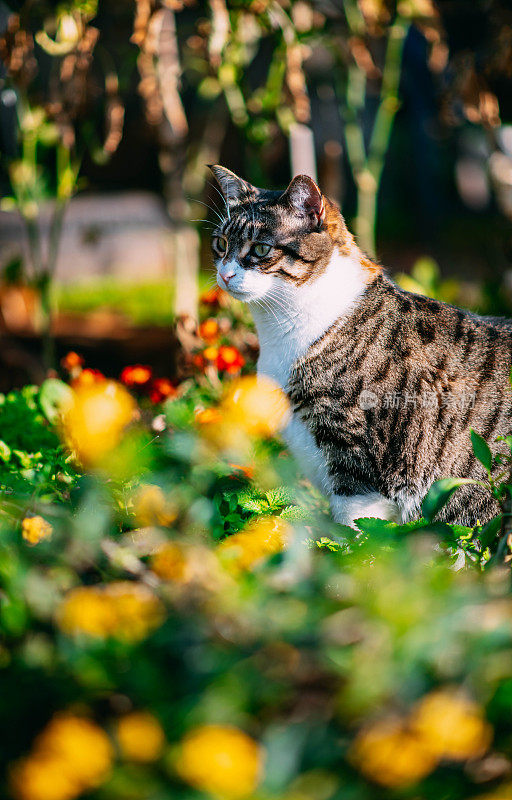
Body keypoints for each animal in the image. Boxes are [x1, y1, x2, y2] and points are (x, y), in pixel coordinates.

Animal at [208, 163, 512, 528]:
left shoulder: (358, 463)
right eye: (221, 243)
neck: (280, 332)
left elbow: (357, 533)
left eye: (261, 250)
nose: (225, 274)